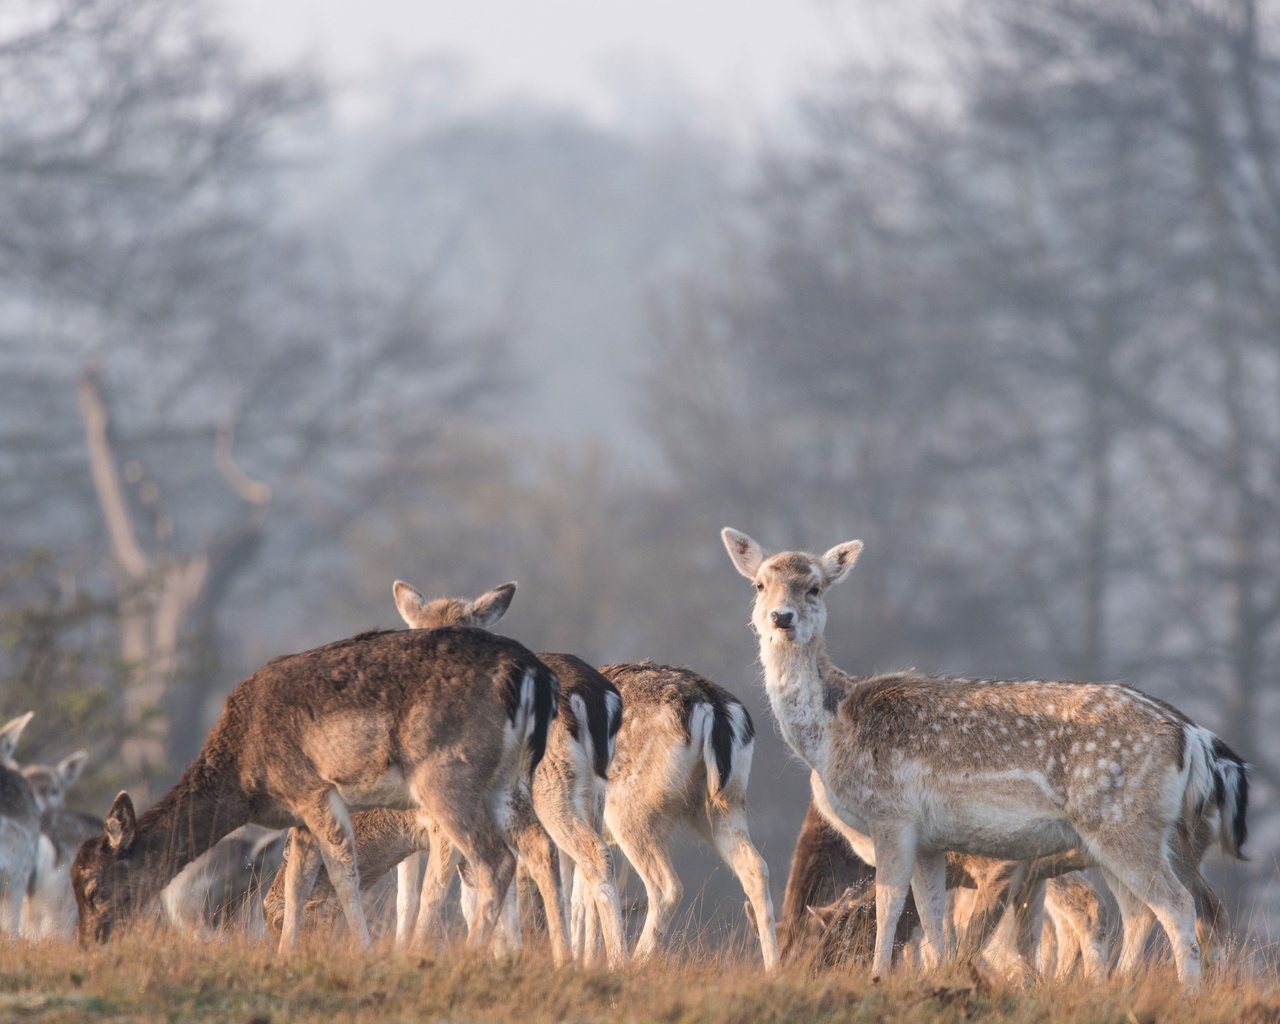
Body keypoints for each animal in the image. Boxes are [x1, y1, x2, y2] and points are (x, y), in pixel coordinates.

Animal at [71, 627, 555, 957]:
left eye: (93, 888)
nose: (88, 943)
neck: (246, 779)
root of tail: (532, 675)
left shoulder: (312, 790)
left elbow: (341, 872)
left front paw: (363, 950)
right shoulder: (298, 817)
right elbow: (298, 881)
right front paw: (286, 955)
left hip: (448, 779)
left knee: (495, 859)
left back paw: (468, 955)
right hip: (508, 781)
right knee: (539, 846)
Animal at [727, 527, 1244, 983]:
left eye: (814, 586)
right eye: (760, 584)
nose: (781, 617)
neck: (833, 732)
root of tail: (1192, 736)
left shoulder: (892, 815)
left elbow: (891, 905)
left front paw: (877, 977)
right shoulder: (932, 841)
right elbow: (932, 918)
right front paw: (935, 979)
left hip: (1125, 824)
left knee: (1178, 907)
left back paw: (1186, 990)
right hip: (1142, 837)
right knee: (1145, 912)